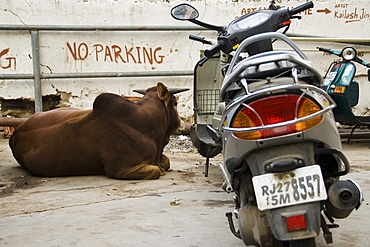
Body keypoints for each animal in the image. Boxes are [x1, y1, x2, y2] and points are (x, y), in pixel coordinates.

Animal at [9, 83, 186, 179]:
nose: (182, 123)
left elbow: (166, 162)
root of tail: (15, 133)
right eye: (175, 104)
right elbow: (156, 171)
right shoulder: (121, 169)